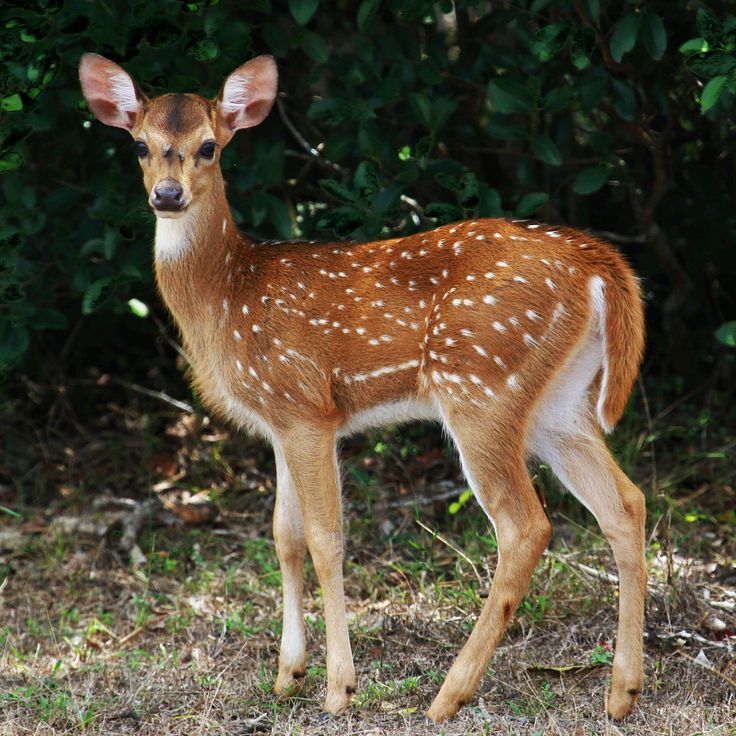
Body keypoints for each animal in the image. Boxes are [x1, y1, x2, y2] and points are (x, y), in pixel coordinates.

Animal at [77, 54, 648, 720]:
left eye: (210, 147)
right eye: (140, 145)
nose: (167, 195)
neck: (227, 297)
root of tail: (598, 264)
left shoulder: (307, 408)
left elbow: (326, 539)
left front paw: (338, 688)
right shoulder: (278, 421)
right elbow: (284, 536)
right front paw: (287, 675)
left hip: (482, 385)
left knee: (525, 526)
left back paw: (447, 695)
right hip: (560, 402)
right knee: (625, 503)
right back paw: (621, 692)